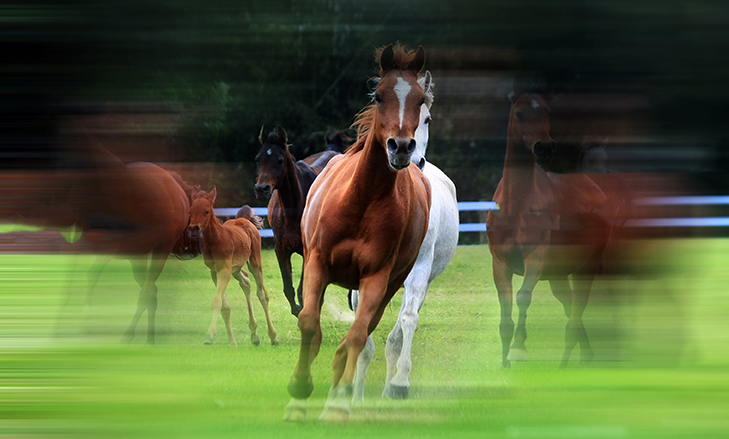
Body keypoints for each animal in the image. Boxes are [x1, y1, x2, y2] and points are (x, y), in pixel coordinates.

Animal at [189, 188, 278, 347]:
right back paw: (254, 335)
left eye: (206, 211)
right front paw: (232, 342)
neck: (215, 241)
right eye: (190, 211)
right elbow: (224, 307)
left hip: (254, 262)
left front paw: (209, 336)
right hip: (235, 269)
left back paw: (273, 337)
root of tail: (244, 219)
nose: (193, 229)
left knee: (262, 293)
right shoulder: (215, 272)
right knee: (246, 282)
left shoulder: (224, 271)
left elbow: (217, 302)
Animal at [254, 126, 338, 317]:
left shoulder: (310, 252)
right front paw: (297, 310)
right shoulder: (281, 249)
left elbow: (302, 290)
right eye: (258, 159)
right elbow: (289, 289)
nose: (262, 189)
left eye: (280, 160)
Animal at [283, 44, 431, 423]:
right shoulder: (316, 263)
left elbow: (355, 335)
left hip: (389, 286)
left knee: (361, 333)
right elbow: (309, 323)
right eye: (378, 96)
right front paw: (298, 394)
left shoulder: (376, 279)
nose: (401, 147)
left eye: (420, 99)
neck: (362, 200)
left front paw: (337, 404)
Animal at [352, 71, 459, 400]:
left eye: (427, 118)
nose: (409, 157)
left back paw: (392, 386)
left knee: (402, 327)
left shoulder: (419, 271)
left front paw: (399, 383)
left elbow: (407, 321)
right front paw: (354, 392)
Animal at [486, 78, 611, 368]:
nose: (544, 148)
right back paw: (581, 358)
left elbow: (523, 297)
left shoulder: (535, 257)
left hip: (586, 269)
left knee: (576, 314)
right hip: (558, 275)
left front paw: (519, 349)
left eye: (547, 112)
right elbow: (505, 311)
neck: (517, 204)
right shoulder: (501, 264)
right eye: (520, 113)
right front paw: (505, 362)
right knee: (571, 309)